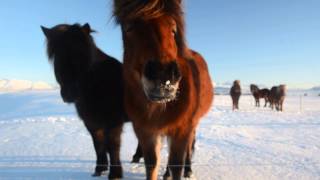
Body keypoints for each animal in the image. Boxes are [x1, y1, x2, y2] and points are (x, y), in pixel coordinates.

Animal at [41, 22, 124, 179]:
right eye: (57, 54)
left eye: (83, 53)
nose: (69, 93)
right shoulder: (91, 122)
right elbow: (98, 144)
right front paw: (99, 170)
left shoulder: (113, 122)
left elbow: (113, 146)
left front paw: (115, 174)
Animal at [114, 0, 214, 179]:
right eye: (128, 27)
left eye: (173, 29)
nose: (164, 76)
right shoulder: (145, 131)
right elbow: (152, 164)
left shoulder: (182, 129)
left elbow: (177, 165)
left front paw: (182, 170)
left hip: (191, 125)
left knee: (189, 147)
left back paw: (188, 169)